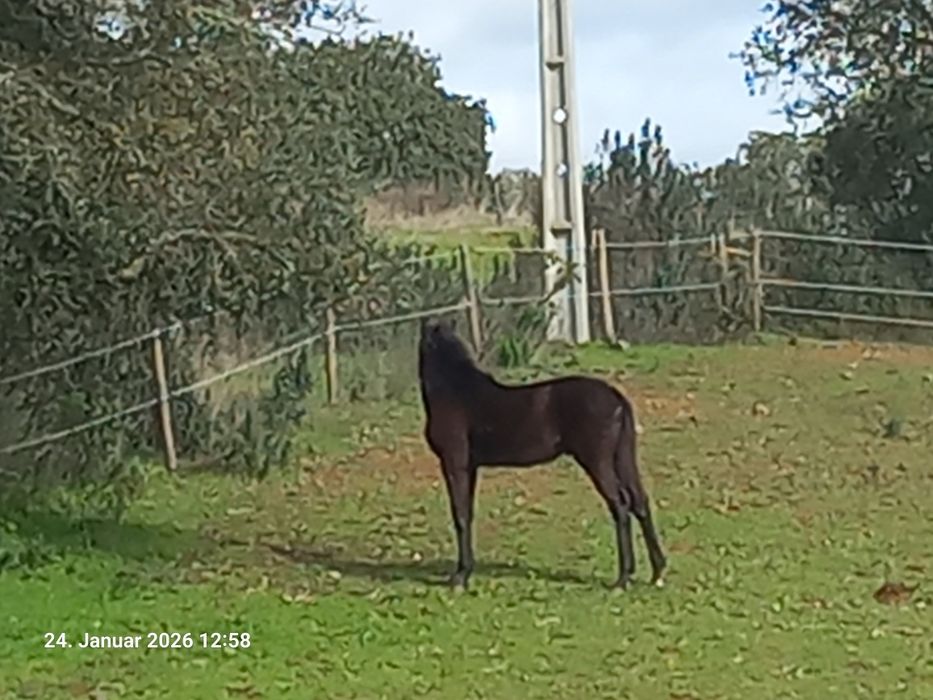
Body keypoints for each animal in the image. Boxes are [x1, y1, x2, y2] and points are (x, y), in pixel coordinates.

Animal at [418, 317, 667, 591]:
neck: (457, 390)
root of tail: (617, 398)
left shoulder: (455, 463)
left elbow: (460, 515)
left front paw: (460, 577)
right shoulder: (470, 467)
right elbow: (468, 512)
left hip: (597, 461)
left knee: (620, 505)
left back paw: (622, 579)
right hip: (622, 458)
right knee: (639, 502)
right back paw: (655, 572)